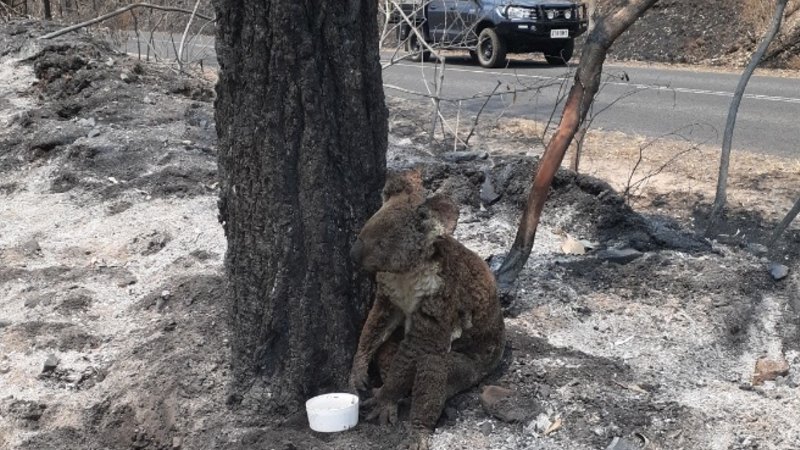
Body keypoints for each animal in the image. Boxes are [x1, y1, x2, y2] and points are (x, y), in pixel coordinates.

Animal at [349, 169, 505, 450]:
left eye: (382, 242)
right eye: (361, 233)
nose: (353, 255)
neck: (408, 274)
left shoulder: (441, 299)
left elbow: (418, 347)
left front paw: (383, 398)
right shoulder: (388, 294)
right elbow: (374, 326)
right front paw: (358, 374)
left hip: (468, 368)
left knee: (432, 366)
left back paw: (415, 430)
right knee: (388, 352)